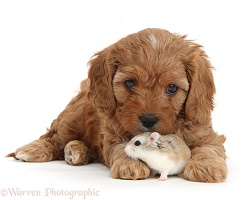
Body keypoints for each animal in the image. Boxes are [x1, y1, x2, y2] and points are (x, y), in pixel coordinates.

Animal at [6, 28, 228, 183]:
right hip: (73, 117)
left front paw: (206, 167)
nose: (148, 120)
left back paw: (76, 151)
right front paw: (130, 165)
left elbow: (209, 148)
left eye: (172, 88)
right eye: (129, 83)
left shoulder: (205, 134)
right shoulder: (113, 134)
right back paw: (33, 150)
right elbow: (122, 148)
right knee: (54, 137)